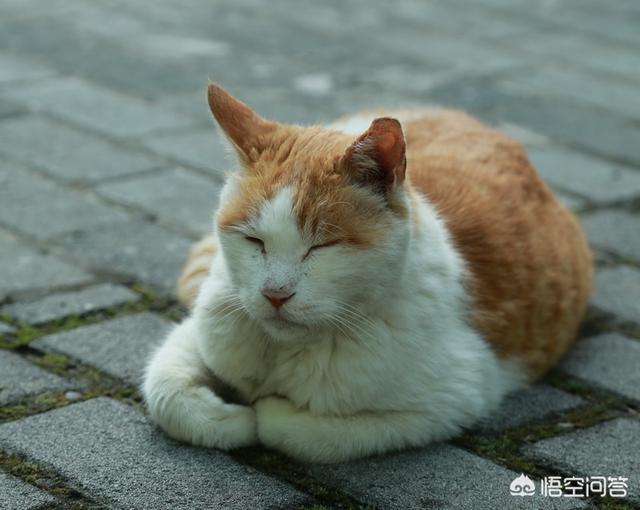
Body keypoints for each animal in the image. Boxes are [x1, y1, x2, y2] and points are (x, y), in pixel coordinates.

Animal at [142, 80, 592, 462]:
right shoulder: (207, 324)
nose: (274, 294)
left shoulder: (453, 399)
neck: (285, 350)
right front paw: (228, 419)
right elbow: (166, 392)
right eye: (255, 241)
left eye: (322, 247)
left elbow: (307, 433)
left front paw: (261, 413)